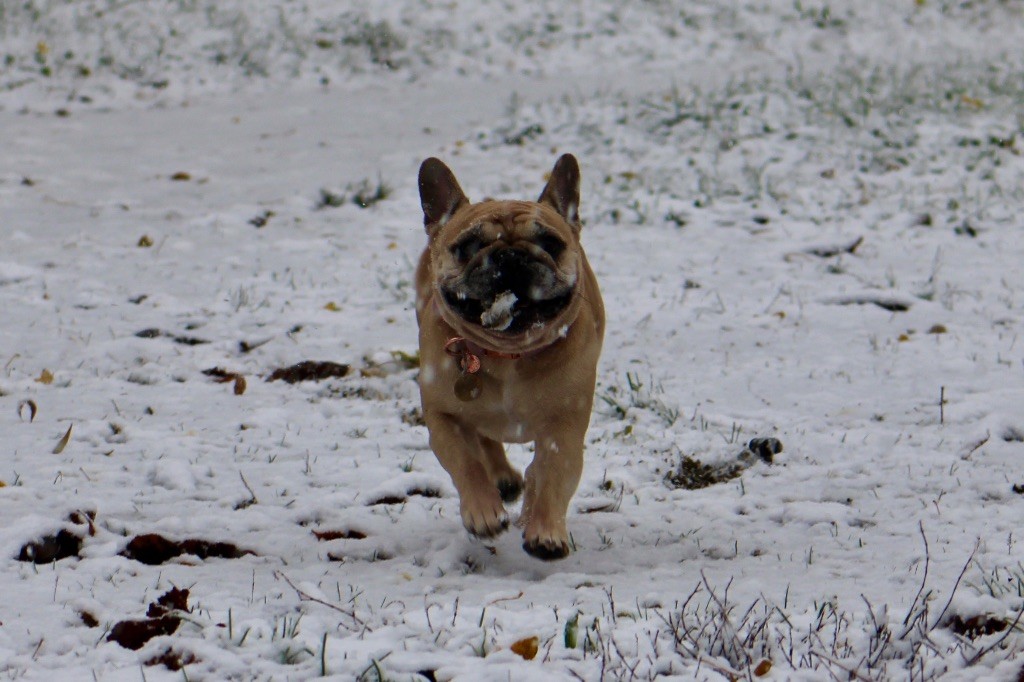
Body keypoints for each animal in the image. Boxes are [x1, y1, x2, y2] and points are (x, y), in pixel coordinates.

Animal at [413, 153, 602, 557]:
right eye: (468, 246)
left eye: (550, 242)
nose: (511, 254)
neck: (506, 355)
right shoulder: (443, 418)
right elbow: (466, 461)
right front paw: (483, 512)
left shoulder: (564, 426)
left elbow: (553, 474)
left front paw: (545, 530)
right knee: (486, 443)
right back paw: (502, 481)